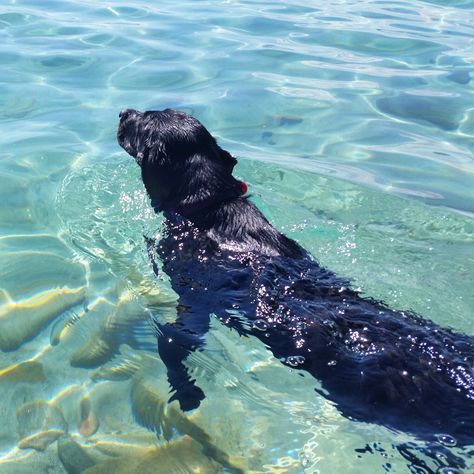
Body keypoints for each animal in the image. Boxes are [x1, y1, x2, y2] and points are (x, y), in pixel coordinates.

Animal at [116, 107, 472, 444]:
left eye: (143, 120)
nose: (123, 112)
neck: (211, 207)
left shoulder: (193, 297)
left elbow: (173, 342)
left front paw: (185, 391)